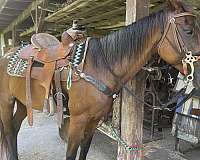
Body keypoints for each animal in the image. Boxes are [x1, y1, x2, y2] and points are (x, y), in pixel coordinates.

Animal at [0, 0, 200, 160]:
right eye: (188, 31)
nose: (197, 75)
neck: (99, 67)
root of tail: (8, 54)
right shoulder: (77, 121)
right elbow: (71, 154)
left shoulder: (94, 121)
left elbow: (84, 150)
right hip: (6, 102)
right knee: (8, 131)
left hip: (24, 102)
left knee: (15, 129)